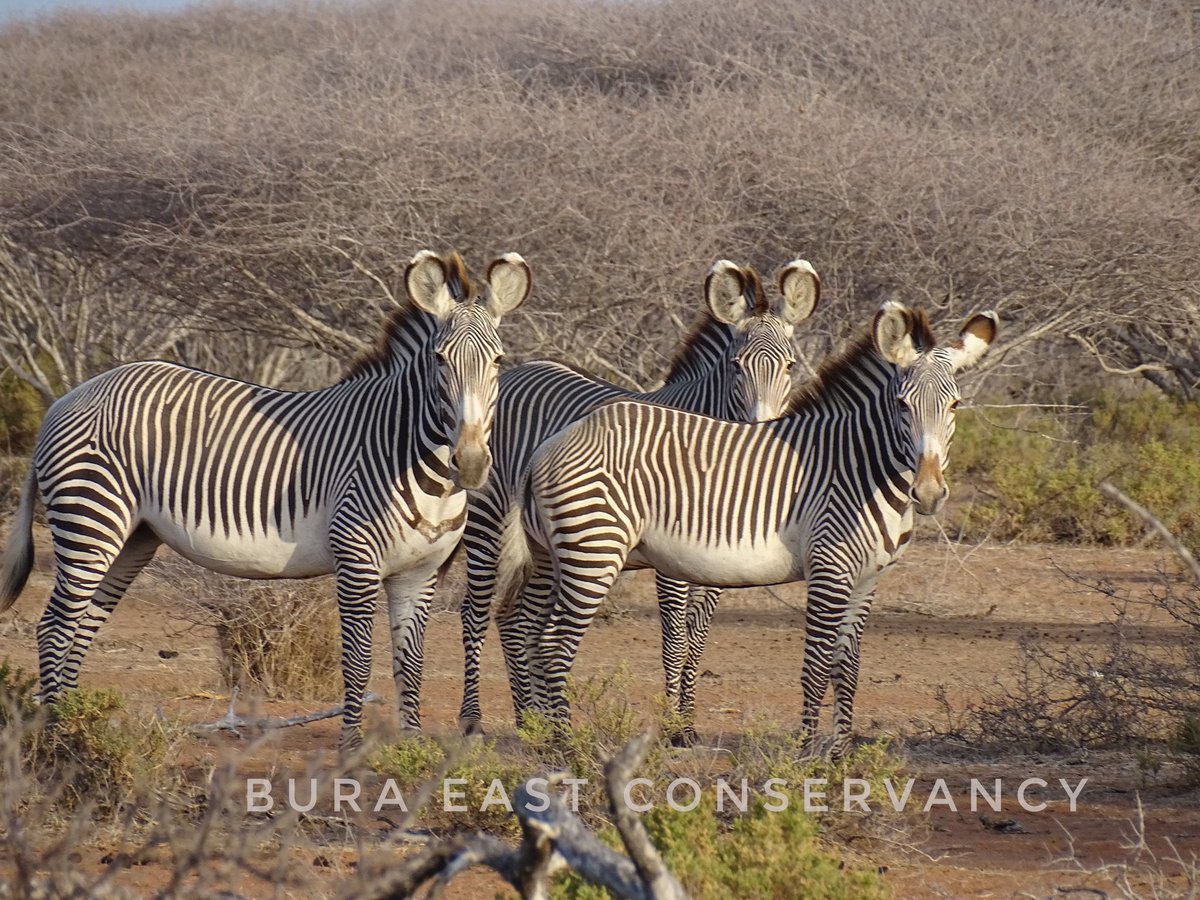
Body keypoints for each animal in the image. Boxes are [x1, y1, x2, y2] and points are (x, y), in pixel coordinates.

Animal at [0, 248, 530, 748]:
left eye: (498, 361)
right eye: (440, 360)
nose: (471, 463)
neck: (412, 456)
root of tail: (69, 397)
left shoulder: (419, 573)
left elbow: (410, 664)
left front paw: (412, 747)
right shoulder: (356, 559)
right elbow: (359, 659)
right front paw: (351, 748)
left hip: (133, 537)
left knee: (83, 625)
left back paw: (77, 725)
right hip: (91, 518)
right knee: (55, 627)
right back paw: (57, 734)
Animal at [453, 259, 820, 739]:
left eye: (790, 367)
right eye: (736, 366)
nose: (763, 431)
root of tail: (517, 371)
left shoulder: (719, 563)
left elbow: (697, 639)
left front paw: (688, 721)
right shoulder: (673, 560)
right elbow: (675, 638)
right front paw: (673, 726)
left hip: (542, 548)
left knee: (513, 618)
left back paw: (531, 719)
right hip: (488, 526)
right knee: (475, 613)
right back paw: (474, 720)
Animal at [492, 301, 998, 763]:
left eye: (955, 405)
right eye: (901, 405)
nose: (928, 492)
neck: (860, 466)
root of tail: (549, 446)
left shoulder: (867, 579)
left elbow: (848, 667)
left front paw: (840, 756)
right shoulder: (830, 568)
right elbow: (817, 665)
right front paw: (804, 756)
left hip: (554, 554)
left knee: (528, 630)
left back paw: (540, 735)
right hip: (593, 552)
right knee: (553, 643)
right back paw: (565, 748)